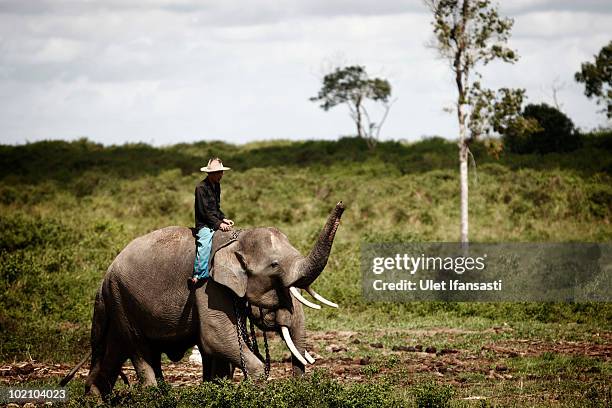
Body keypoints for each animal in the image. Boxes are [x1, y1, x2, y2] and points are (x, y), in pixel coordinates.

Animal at [62, 201, 346, 396]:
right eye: (274, 266)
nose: (342, 204)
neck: (236, 239)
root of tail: (104, 278)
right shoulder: (207, 286)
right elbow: (216, 337)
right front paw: (257, 388)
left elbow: (216, 348)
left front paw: (217, 389)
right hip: (122, 298)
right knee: (138, 349)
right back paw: (152, 395)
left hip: (119, 302)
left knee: (115, 349)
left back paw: (96, 397)